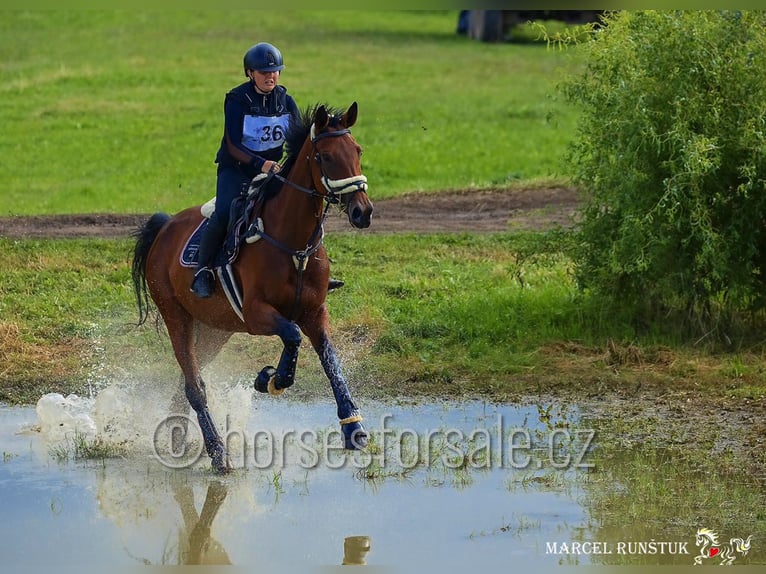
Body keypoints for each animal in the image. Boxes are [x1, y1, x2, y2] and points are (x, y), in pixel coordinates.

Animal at [131, 101, 376, 474]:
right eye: (326, 156)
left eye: (358, 150)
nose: (363, 212)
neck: (293, 244)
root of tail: (164, 227)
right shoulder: (257, 314)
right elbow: (291, 335)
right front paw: (271, 378)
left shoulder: (314, 312)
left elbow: (330, 360)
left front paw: (354, 428)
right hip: (177, 317)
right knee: (194, 385)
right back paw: (218, 453)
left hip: (216, 330)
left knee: (188, 378)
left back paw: (175, 435)